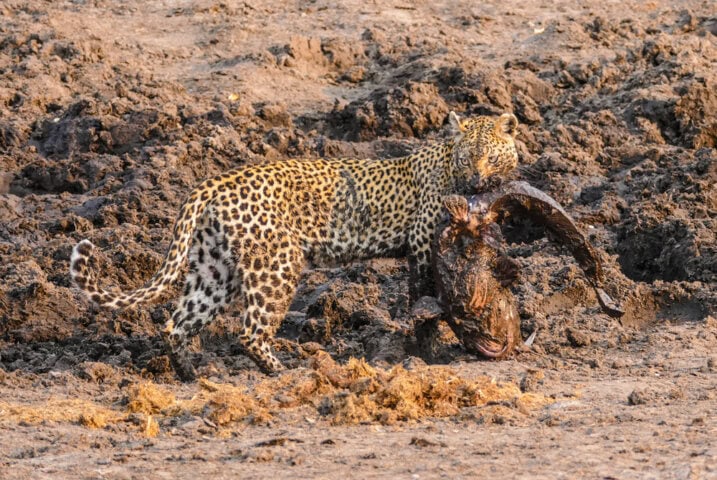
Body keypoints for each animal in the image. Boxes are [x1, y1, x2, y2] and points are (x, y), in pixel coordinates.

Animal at [70, 111, 519, 381]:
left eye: (489, 158)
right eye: (467, 158)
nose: (476, 179)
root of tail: (210, 182)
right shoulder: (422, 245)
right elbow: (424, 299)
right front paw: (428, 351)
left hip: (215, 271)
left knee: (176, 323)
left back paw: (191, 376)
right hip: (277, 263)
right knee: (250, 331)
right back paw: (286, 372)